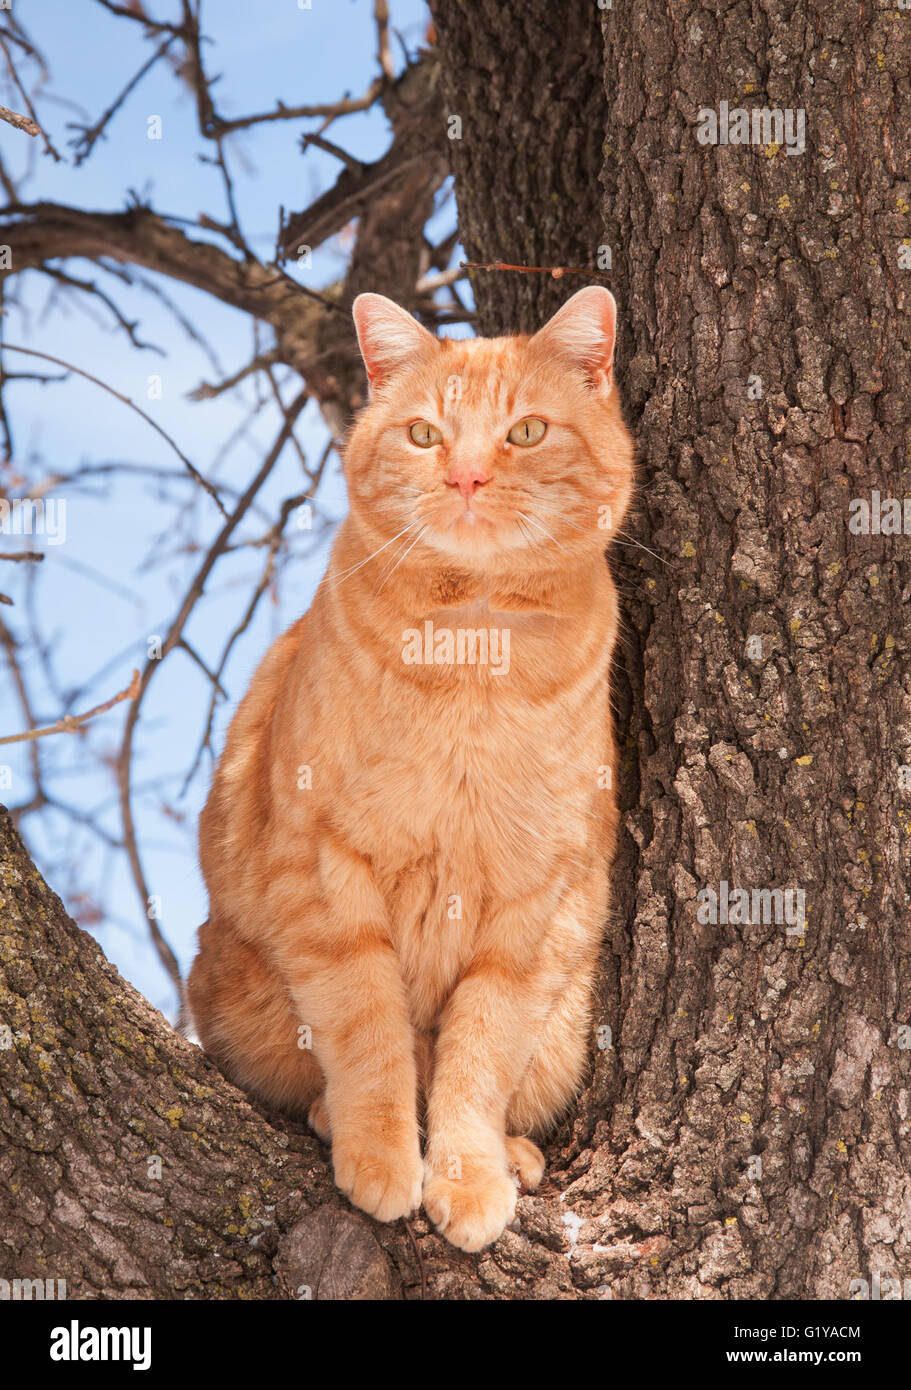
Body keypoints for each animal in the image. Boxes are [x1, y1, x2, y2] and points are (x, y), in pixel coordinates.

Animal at [187, 287, 634, 1256]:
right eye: (426, 435)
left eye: (526, 432)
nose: (464, 478)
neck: (472, 651)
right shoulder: (324, 870)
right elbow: (369, 1030)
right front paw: (381, 1151)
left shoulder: (535, 903)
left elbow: (476, 1052)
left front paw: (466, 1172)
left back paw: (515, 1156)